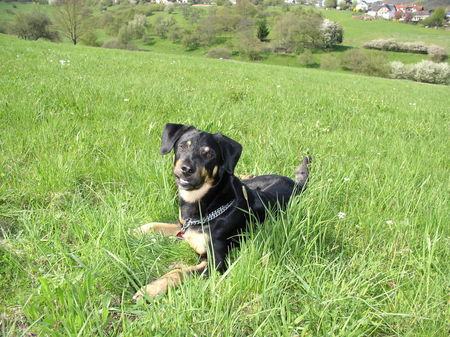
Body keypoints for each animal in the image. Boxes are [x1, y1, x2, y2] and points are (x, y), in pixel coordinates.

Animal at [132, 123, 312, 300]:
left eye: (209, 154)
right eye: (182, 145)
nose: (186, 169)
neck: (206, 204)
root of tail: (298, 185)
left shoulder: (216, 263)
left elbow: (179, 271)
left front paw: (150, 290)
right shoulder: (183, 224)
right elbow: (154, 225)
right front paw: (133, 231)